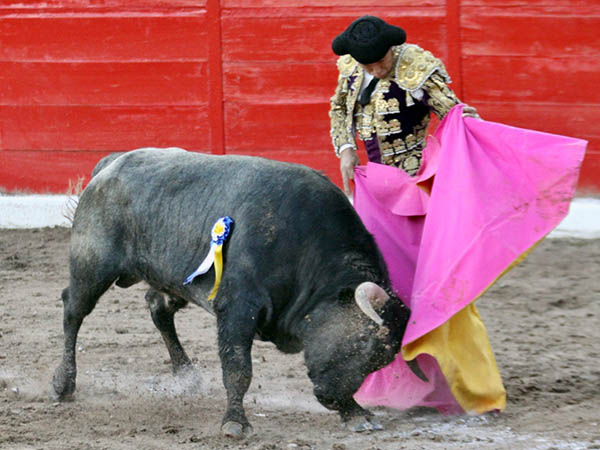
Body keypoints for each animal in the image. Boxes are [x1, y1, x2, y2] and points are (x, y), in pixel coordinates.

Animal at [54, 149, 424, 438]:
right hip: (92, 266)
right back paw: (63, 383)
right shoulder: (236, 308)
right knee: (73, 311)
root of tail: (110, 164)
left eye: (383, 359)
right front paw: (235, 422)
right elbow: (237, 368)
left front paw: (356, 413)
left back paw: (186, 375)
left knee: (158, 309)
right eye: (362, 341)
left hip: (170, 279)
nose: (333, 397)